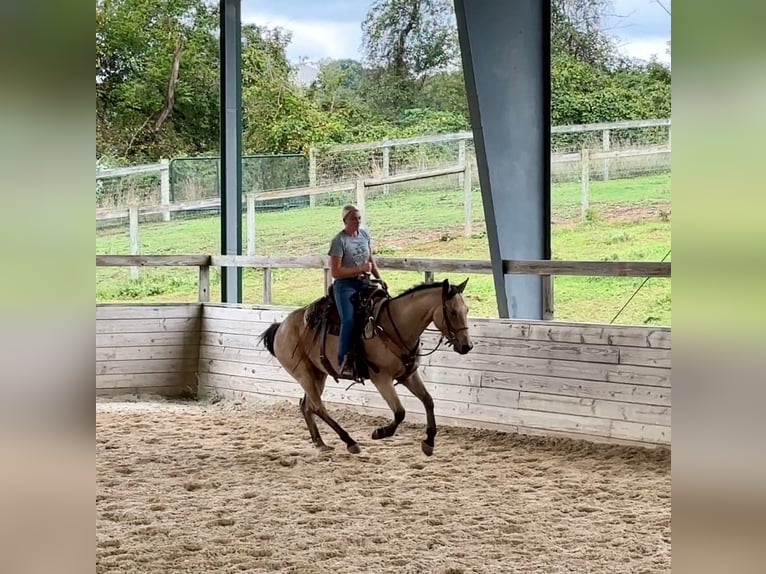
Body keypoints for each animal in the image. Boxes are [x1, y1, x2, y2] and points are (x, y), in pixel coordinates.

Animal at [260, 280, 474, 460]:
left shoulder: (409, 375)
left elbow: (428, 401)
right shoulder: (382, 379)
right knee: (318, 407)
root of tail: (281, 326)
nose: (467, 346)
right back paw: (350, 442)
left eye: (466, 310)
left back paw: (320, 443)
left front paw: (429, 442)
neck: (393, 326)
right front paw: (380, 432)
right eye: (452, 312)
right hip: (303, 374)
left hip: (318, 374)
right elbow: (400, 412)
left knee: (307, 406)